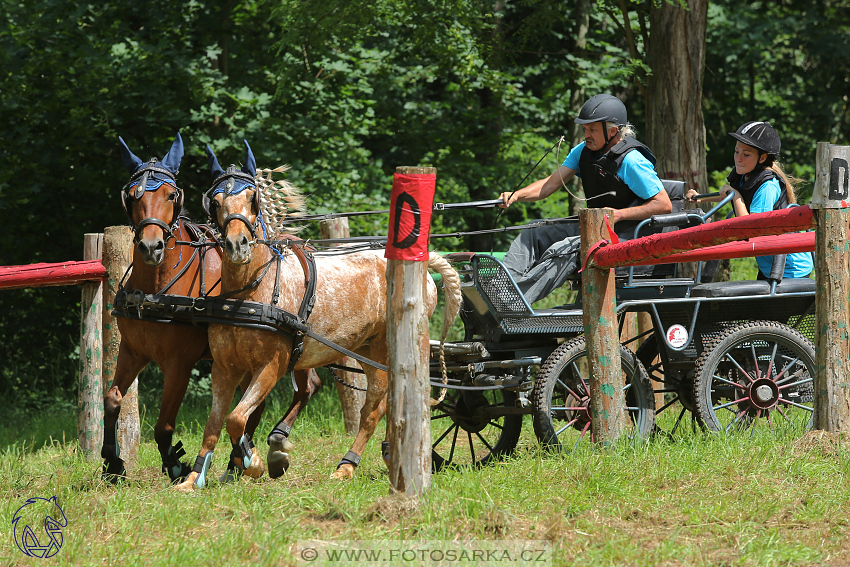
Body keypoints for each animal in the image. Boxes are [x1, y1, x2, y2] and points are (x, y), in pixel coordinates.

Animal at [175, 140, 460, 490]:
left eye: (254, 199)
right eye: (215, 202)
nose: (237, 244)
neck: (250, 294)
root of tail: (423, 265)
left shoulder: (271, 366)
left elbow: (236, 418)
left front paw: (253, 462)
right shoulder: (224, 368)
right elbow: (214, 424)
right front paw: (194, 477)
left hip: (385, 351)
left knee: (371, 411)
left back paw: (347, 466)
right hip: (366, 352)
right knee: (388, 404)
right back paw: (392, 452)